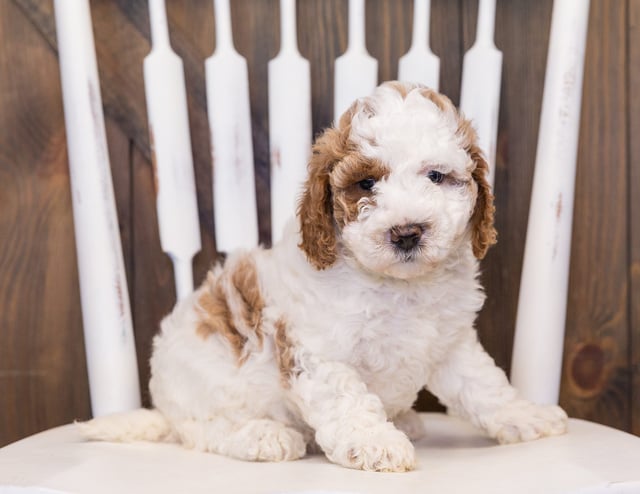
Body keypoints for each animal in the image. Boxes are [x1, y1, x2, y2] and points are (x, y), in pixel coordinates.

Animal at [82, 83, 568, 472]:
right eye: (366, 184)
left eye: (436, 176)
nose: (407, 233)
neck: (401, 286)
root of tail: (164, 407)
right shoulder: (319, 351)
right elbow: (347, 399)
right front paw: (376, 443)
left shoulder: (451, 343)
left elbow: (484, 386)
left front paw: (528, 416)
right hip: (206, 384)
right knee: (204, 430)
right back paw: (263, 436)